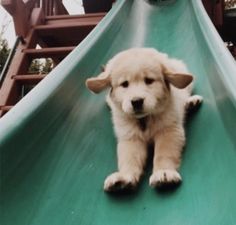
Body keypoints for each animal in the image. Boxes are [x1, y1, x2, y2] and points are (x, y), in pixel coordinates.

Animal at [85, 47, 202, 192]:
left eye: (149, 80)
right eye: (124, 84)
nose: (136, 101)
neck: (144, 119)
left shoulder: (169, 131)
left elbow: (164, 153)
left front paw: (164, 172)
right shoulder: (130, 137)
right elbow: (129, 157)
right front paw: (125, 177)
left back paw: (190, 103)